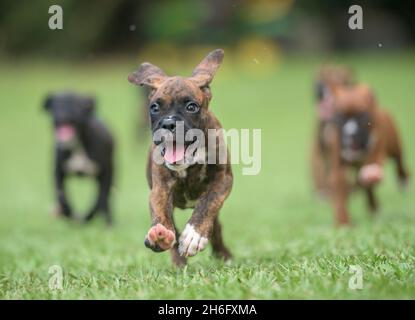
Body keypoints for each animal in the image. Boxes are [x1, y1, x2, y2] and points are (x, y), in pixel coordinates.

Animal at [43, 91, 114, 224]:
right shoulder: (58, 171)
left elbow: (101, 197)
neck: (77, 145)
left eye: (77, 107)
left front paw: (89, 216)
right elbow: (62, 195)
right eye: (56, 106)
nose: (63, 115)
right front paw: (68, 213)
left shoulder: (106, 172)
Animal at [128, 49, 232, 264]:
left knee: (216, 228)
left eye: (191, 107)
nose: (168, 124)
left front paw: (194, 235)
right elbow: (160, 211)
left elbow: (208, 203)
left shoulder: (223, 179)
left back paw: (223, 254)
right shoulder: (160, 188)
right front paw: (160, 234)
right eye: (154, 107)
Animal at [316, 85, 410, 225]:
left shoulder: (377, 151)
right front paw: (343, 221)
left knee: (399, 161)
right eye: (340, 116)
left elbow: (374, 164)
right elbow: (340, 197)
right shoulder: (338, 170)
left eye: (362, 116)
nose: (350, 134)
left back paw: (403, 180)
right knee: (366, 187)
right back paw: (373, 206)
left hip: (394, 146)